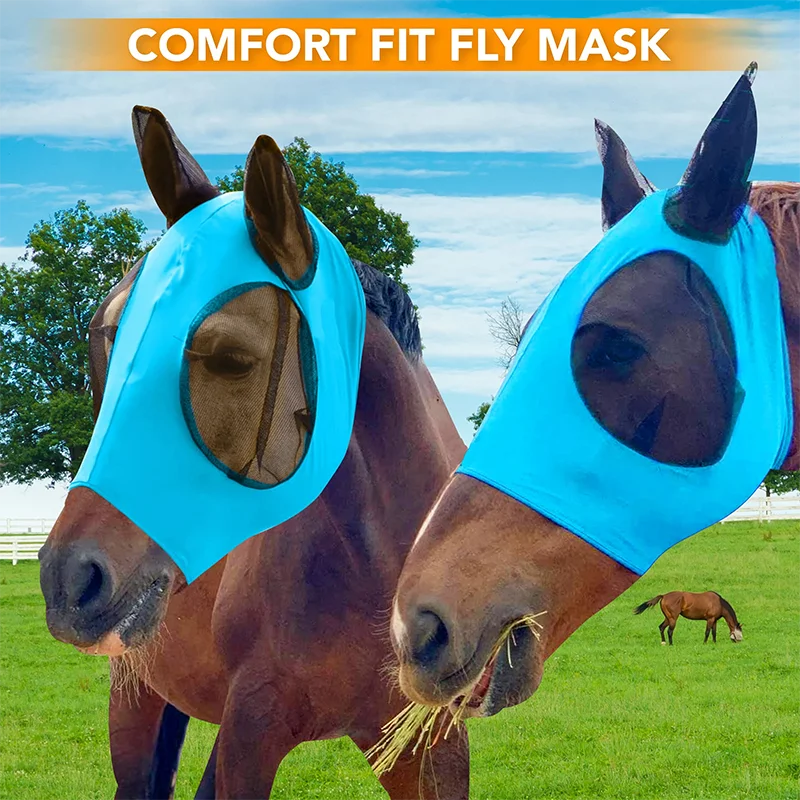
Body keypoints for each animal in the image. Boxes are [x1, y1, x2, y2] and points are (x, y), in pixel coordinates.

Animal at [38, 106, 470, 799]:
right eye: (103, 344)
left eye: (229, 356)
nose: (68, 578)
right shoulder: (251, 735)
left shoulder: (429, 747)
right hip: (136, 696)